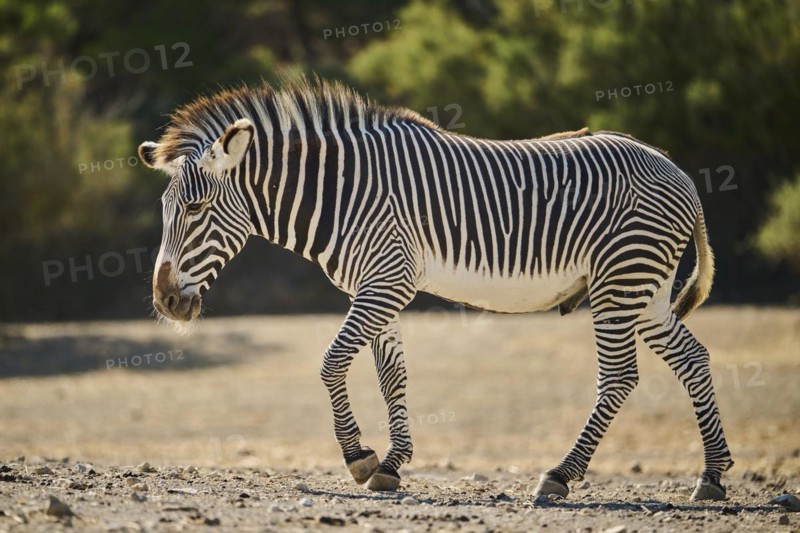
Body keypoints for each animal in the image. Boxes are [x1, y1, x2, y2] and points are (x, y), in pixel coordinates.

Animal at [139, 77, 733, 501]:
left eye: (197, 208)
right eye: (165, 209)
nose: (166, 302)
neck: (343, 193)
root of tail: (678, 172)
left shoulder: (386, 281)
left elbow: (332, 363)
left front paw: (359, 457)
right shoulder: (378, 285)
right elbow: (392, 376)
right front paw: (392, 464)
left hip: (619, 281)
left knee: (619, 377)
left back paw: (560, 475)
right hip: (647, 289)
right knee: (694, 359)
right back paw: (712, 476)